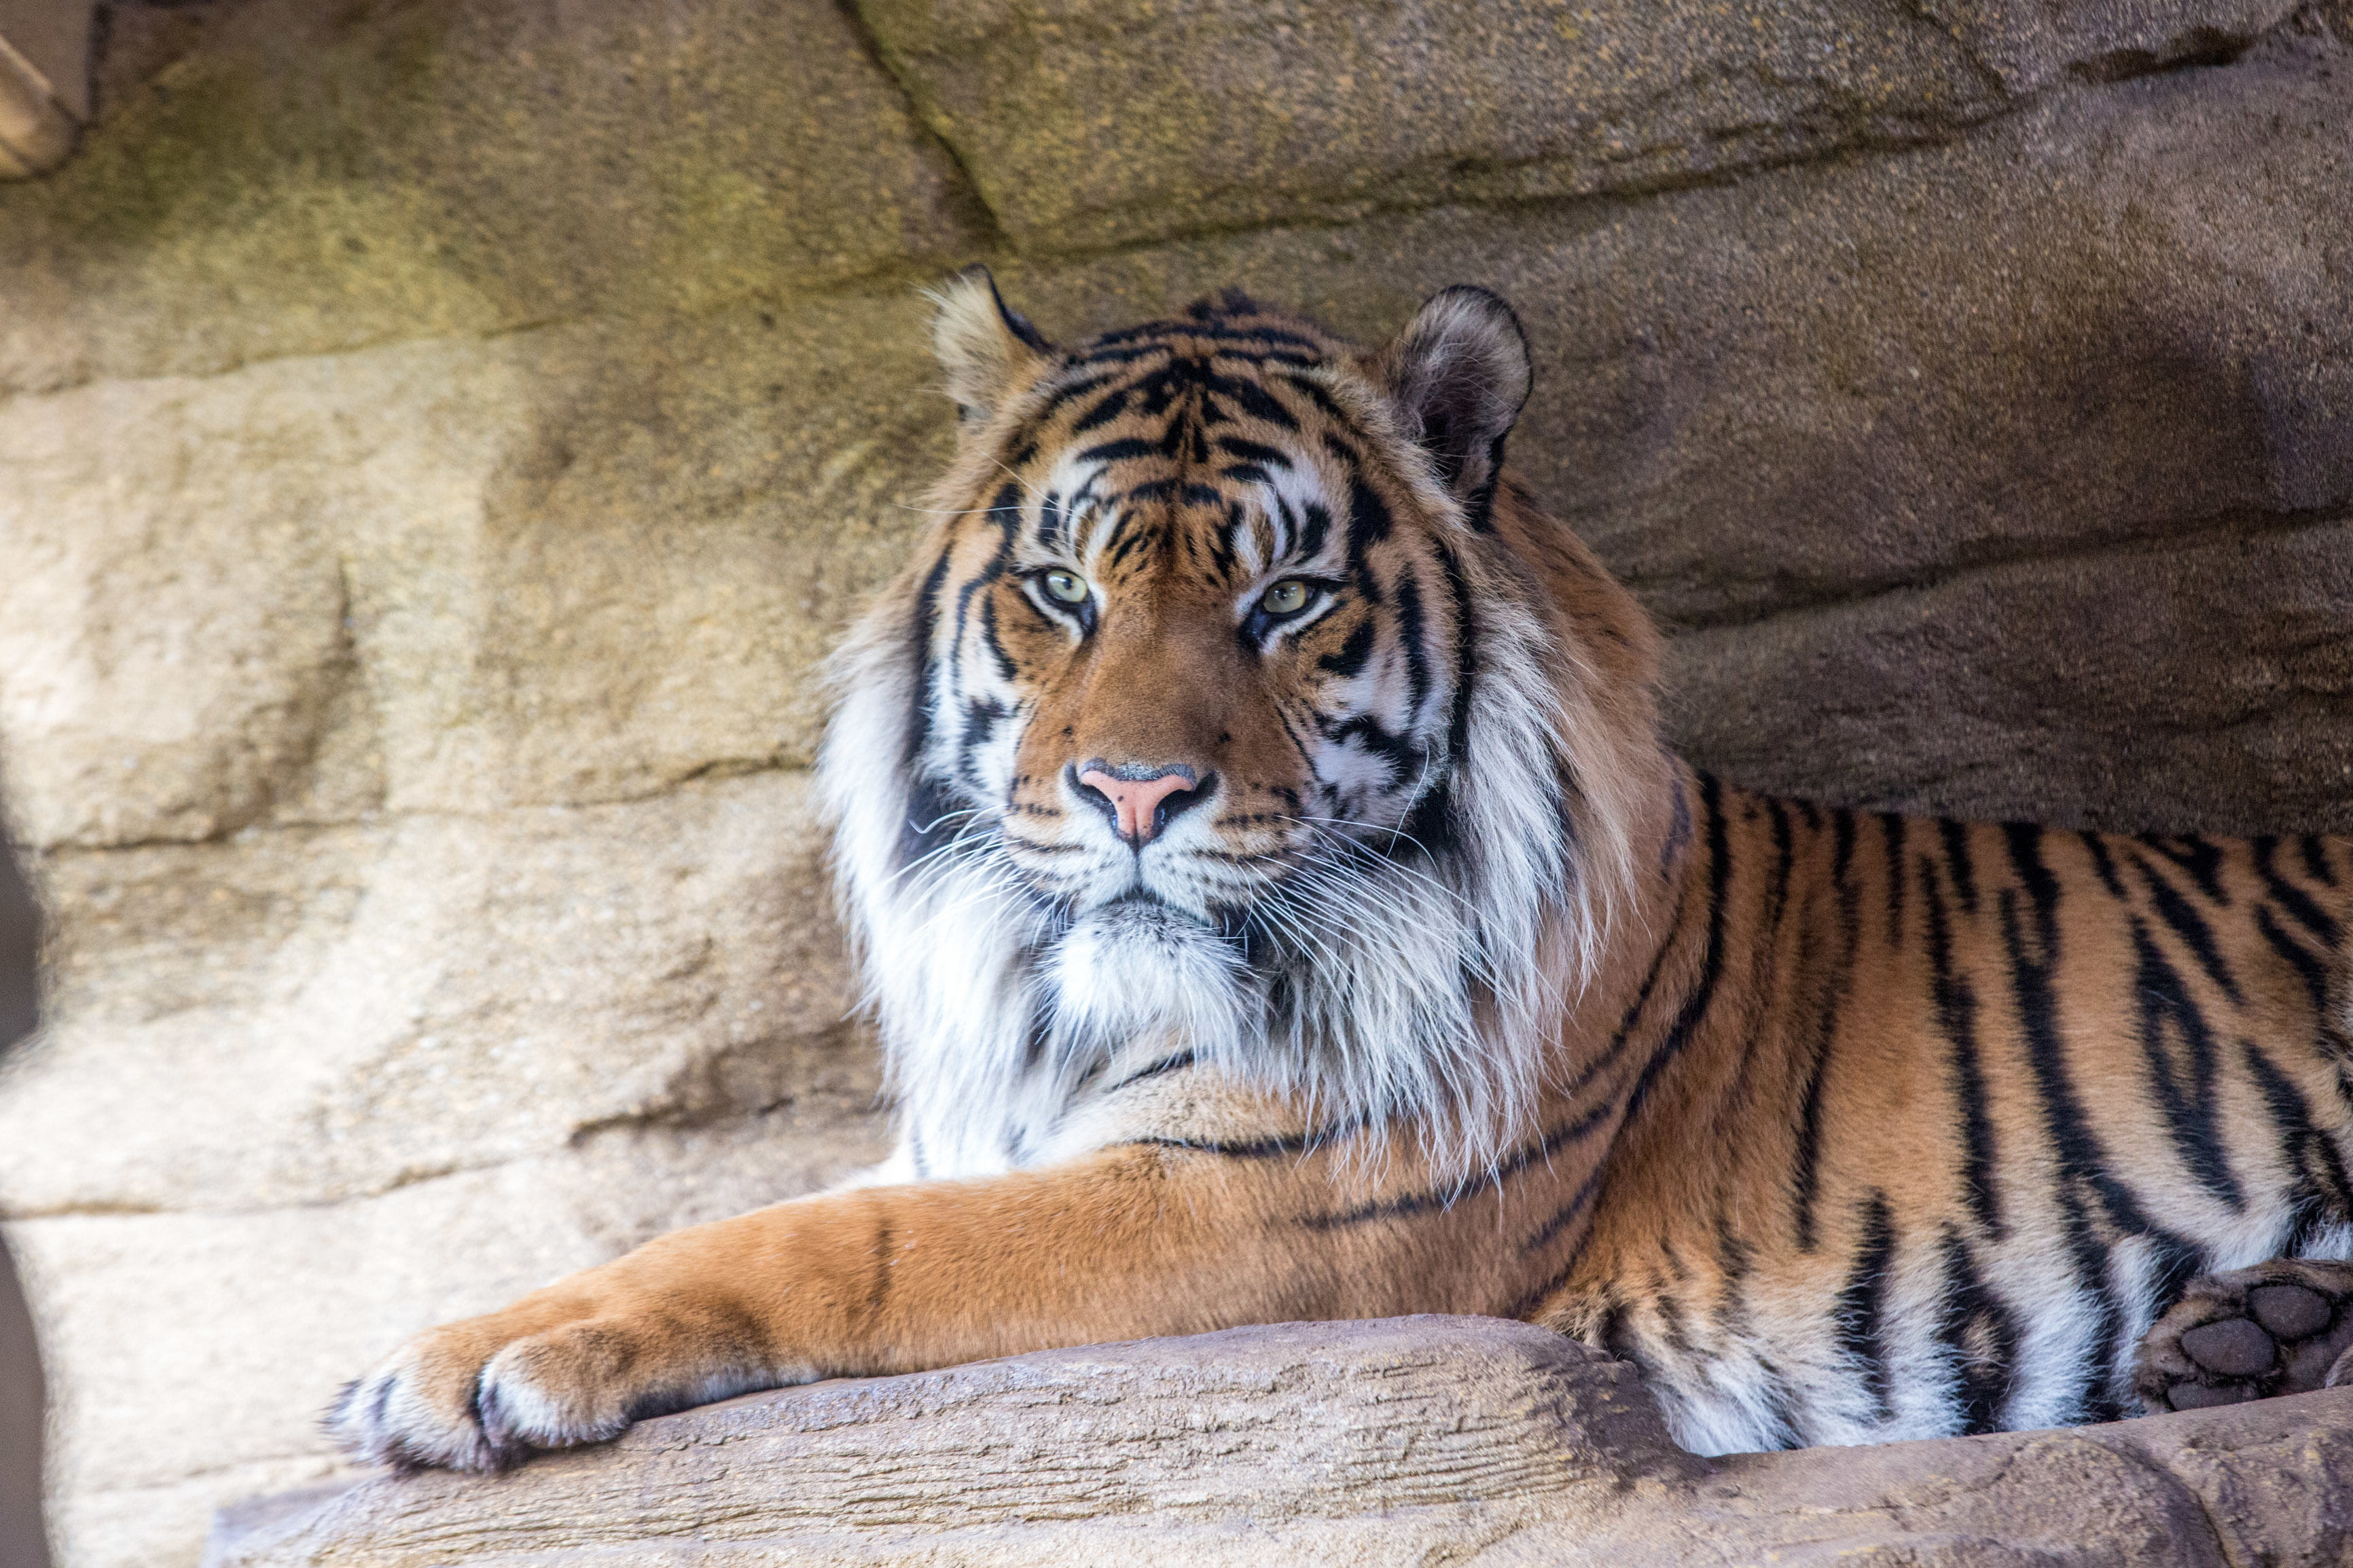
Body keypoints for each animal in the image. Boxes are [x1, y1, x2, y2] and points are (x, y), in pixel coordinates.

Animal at [330, 270, 2353, 1473]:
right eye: (1059, 587)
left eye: (1286, 599)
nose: (1134, 791)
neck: (1072, 1010)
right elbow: (729, 1212)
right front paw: (442, 1346)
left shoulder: (1252, 1201)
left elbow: (833, 1243)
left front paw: (459, 1368)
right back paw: (2244, 1334)